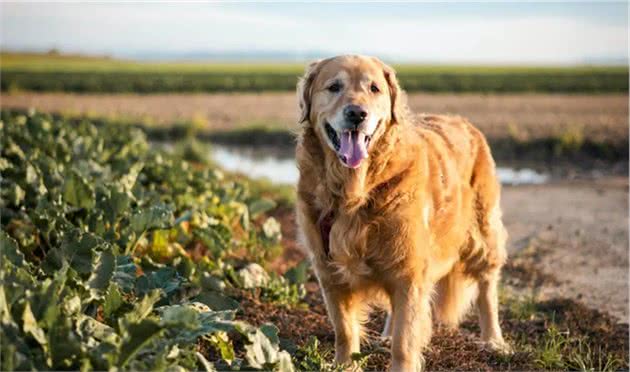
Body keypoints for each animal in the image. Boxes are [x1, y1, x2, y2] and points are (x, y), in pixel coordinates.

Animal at [298, 56, 512, 372]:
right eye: (334, 87)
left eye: (374, 88)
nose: (357, 113)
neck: (356, 192)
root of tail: (464, 122)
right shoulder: (330, 272)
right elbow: (345, 332)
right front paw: (346, 364)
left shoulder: (409, 272)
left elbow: (405, 340)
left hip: (482, 233)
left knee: (487, 287)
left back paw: (494, 341)